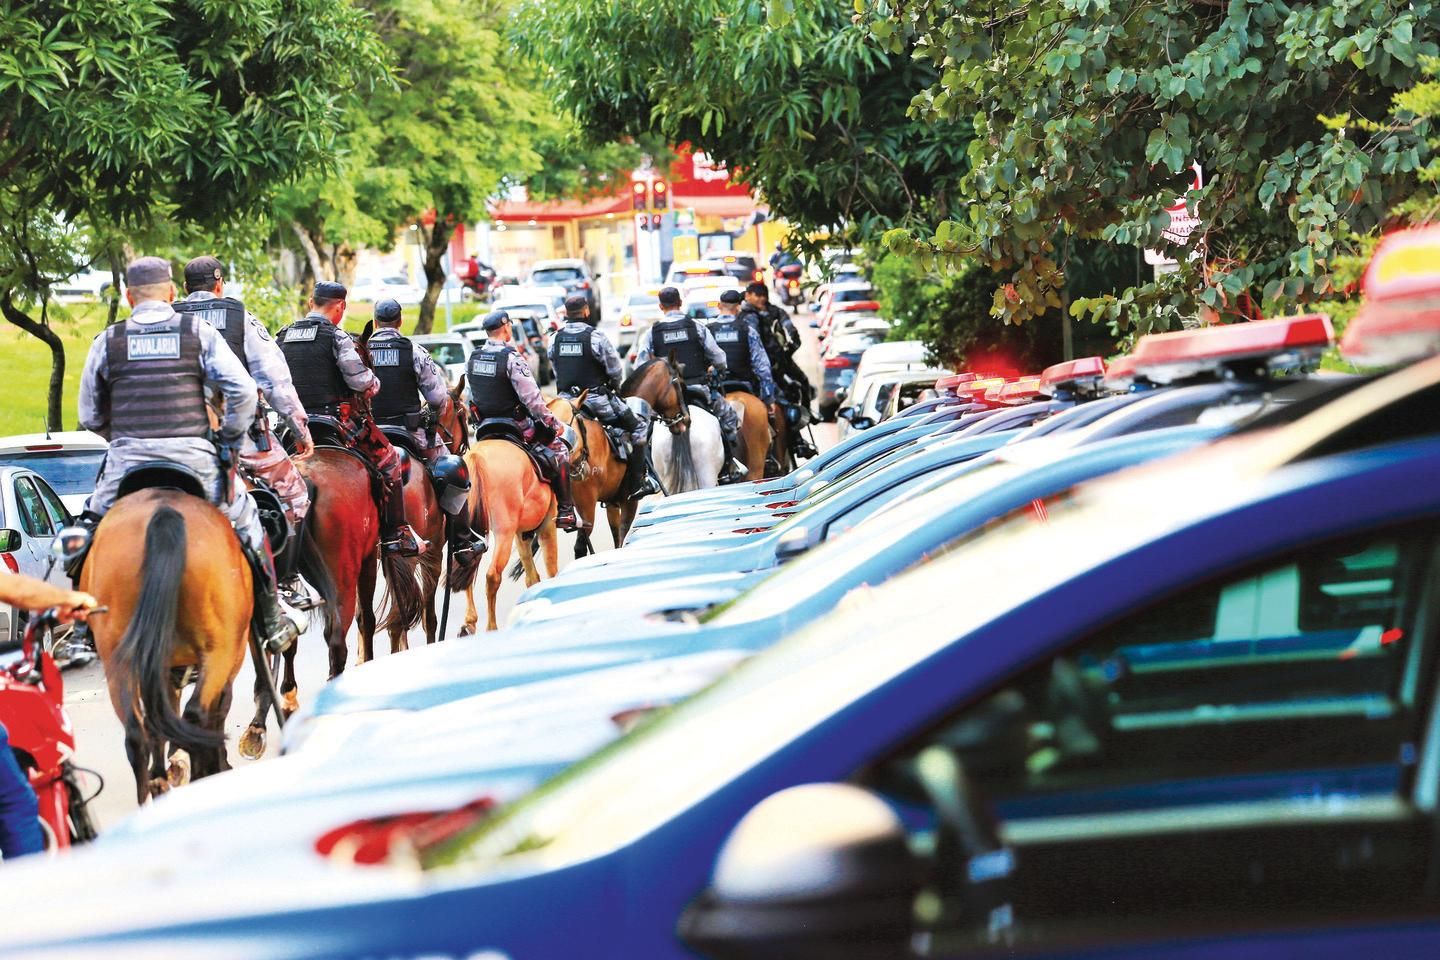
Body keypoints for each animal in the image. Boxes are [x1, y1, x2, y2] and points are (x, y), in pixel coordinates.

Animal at [82, 489, 252, 805]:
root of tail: (164, 509)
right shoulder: (232, 657)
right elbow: (218, 709)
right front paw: (217, 763)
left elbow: (159, 720)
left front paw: (162, 775)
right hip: (219, 653)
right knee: (196, 714)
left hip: (118, 659)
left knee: (137, 732)